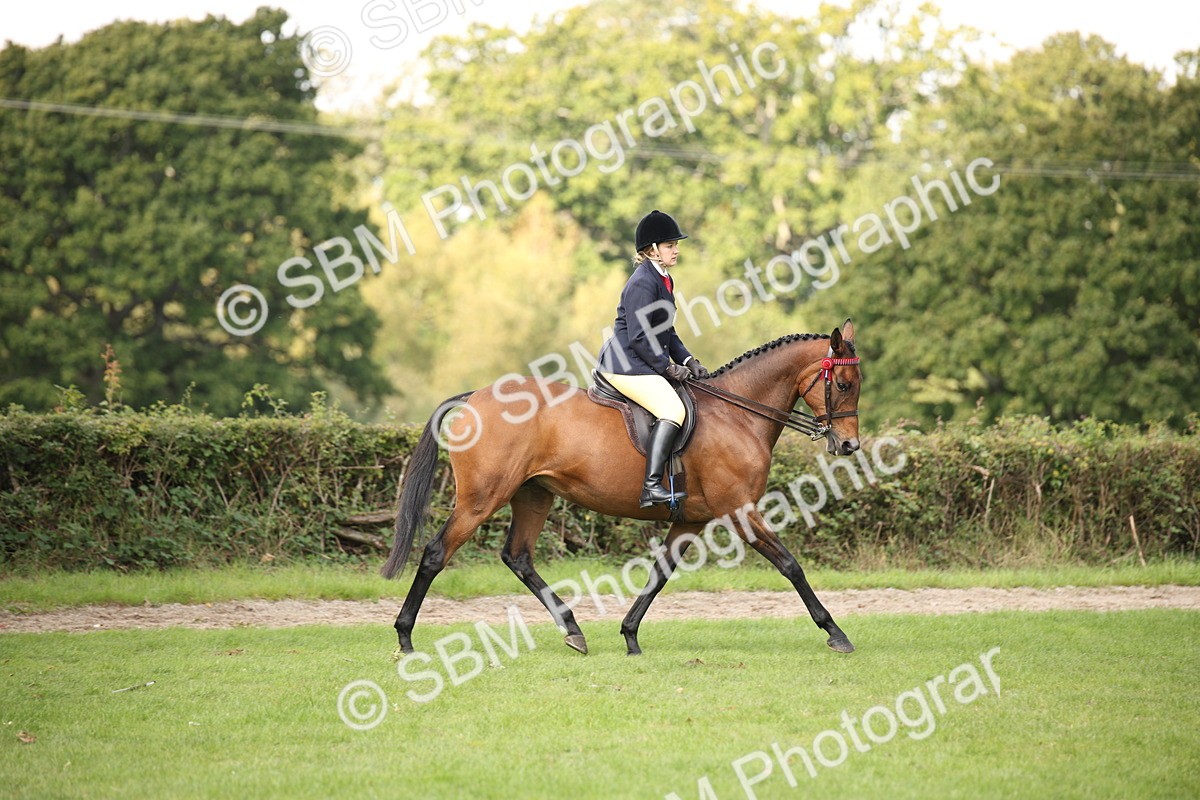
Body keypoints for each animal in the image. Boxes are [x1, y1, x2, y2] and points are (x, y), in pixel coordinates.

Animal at [382, 319, 862, 656]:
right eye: (842, 384)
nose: (849, 445)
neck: (737, 414)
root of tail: (475, 397)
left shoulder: (691, 520)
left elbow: (659, 574)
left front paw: (630, 635)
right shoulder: (739, 511)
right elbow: (790, 565)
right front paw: (836, 633)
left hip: (534, 495)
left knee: (518, 557)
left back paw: (573, 631)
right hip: (482, 499)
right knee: (436, 554)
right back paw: (404, 637)